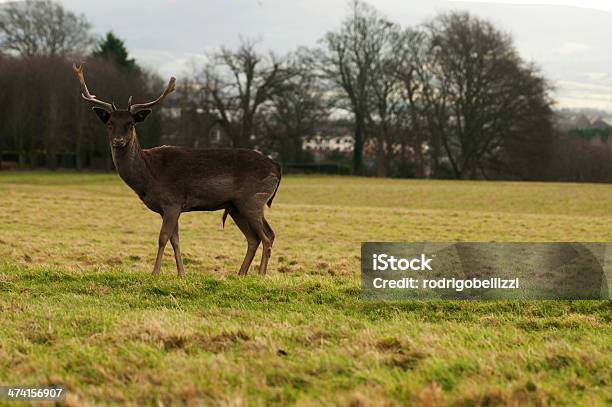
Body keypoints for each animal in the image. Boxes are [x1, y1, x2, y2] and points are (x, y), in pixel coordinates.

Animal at [73, 63, 282, 278]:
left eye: (131, 123)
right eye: (109, 123)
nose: (118, 141)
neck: (148, 178)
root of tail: (276, 167)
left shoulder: (172, 201)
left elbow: (163, 237)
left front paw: (155, 272)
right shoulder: (168, 207)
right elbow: (175, 240)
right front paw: (181, 273)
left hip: (254, 200)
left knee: (268, 235)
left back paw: (261, 275)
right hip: (235, 206)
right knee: (254, 238)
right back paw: (240, 274)